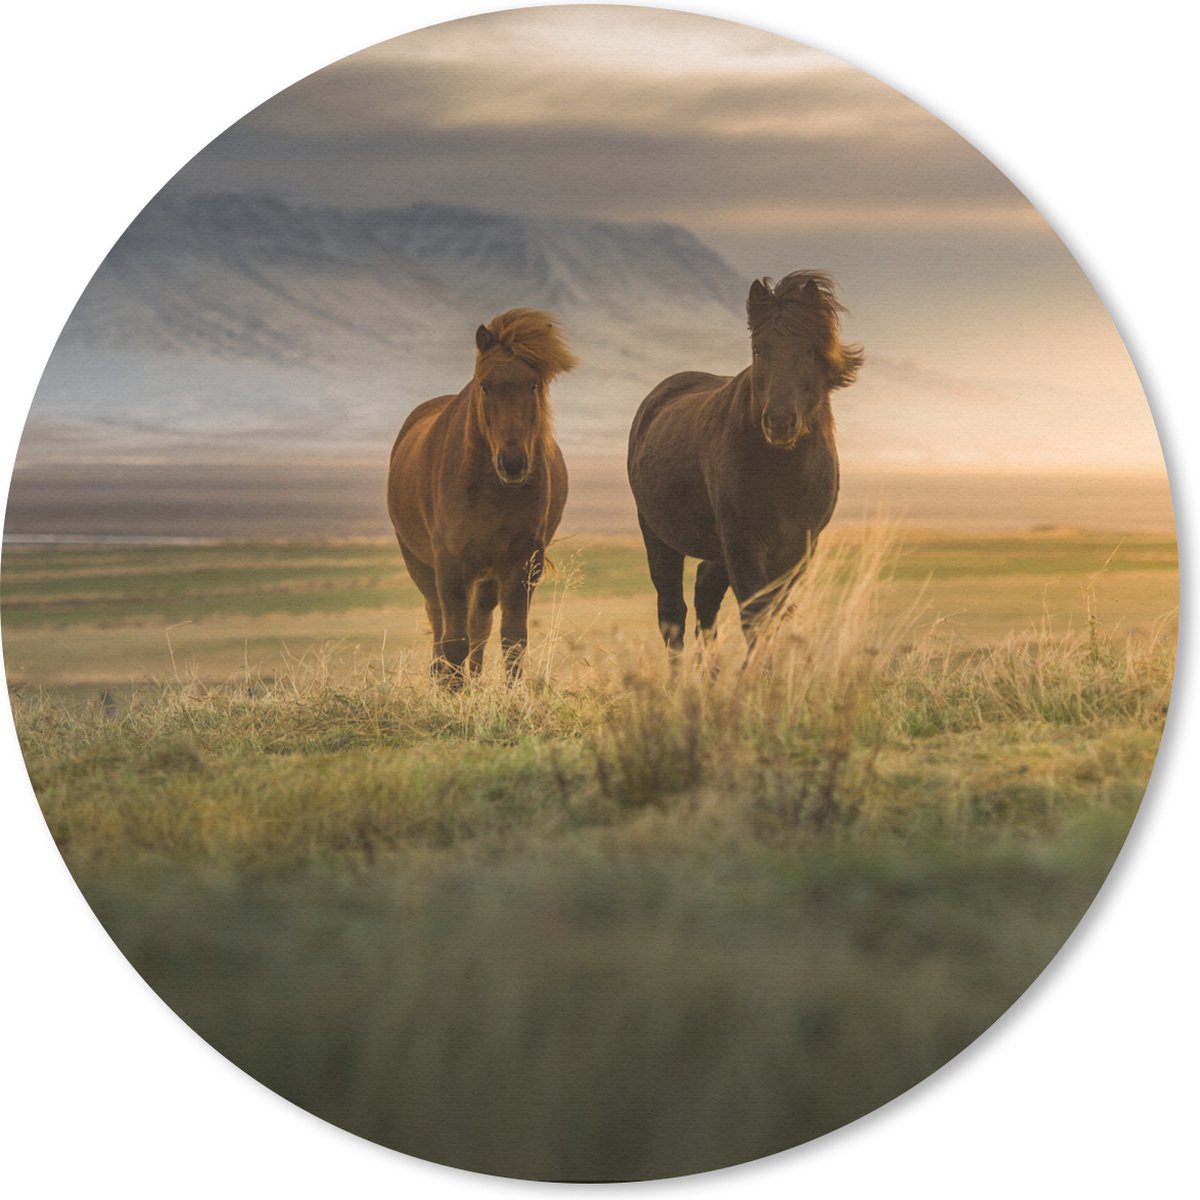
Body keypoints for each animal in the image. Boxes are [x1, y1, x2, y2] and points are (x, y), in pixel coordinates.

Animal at [387, 308, 578, 682]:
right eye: (485, 385)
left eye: (533, 385)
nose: (513, 463)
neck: (491, 492)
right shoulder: (449, 565)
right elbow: (453, 641)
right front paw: (451, 690)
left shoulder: (521, 564)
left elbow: (512, 641)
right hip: (420, 564)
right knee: (440, 623)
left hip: (488, 575)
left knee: (480, 625)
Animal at [627, 271, 863, 657]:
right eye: (758, 349)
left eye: (810, 350)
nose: (779, 422)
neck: (784, 471)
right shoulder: (744, 544)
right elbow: (756, 616)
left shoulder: (799, 549)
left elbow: (773, 616)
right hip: (658, 536)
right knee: (672, 613)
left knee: (705, 595)